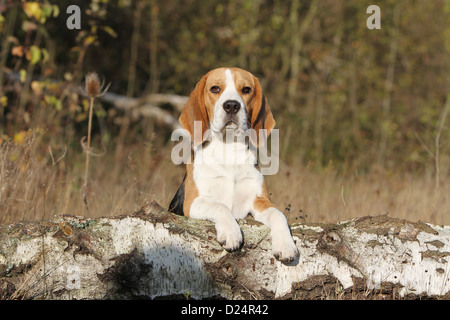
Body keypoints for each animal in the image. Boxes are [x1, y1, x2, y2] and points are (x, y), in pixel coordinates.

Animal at [169, 67, 298, 262]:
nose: (231, 105)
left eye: (246, 89)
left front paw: (285, 244)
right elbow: (220, 206)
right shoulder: (193, 202)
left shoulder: (259, 200)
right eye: (215, 88)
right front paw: (231, 233)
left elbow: (279, 214)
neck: (228, 149)